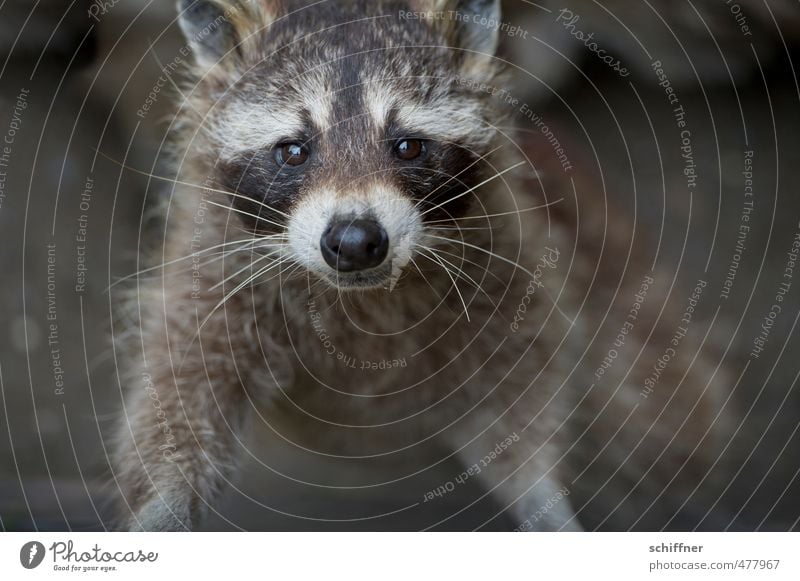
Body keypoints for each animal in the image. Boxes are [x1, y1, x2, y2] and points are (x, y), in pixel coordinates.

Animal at [115, 0, 736, 532]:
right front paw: (163, 507)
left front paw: (542, 497)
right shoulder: (214, 267)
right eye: (293, 150)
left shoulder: (508, 263)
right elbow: (181, 385)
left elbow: (523, 391)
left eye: (408, 145)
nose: (355, 240)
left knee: (656, 414)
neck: (360, 296)